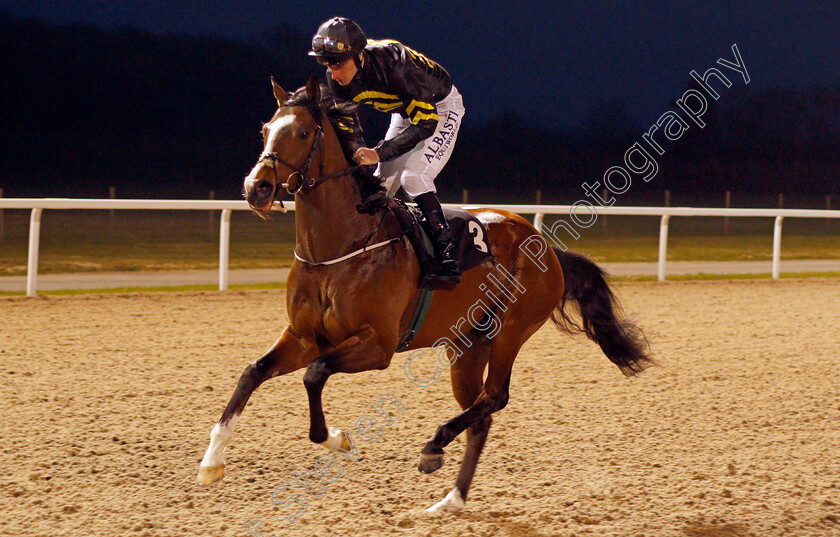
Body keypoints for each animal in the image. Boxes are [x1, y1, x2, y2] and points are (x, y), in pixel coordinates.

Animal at [195, 77, 648, 512]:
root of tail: (547, 246)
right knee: (480, 411)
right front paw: (212, 462)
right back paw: (452, 499)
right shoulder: (305, 337)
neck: (337, 249)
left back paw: (434, 446)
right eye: (265, 130)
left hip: (511, 330)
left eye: (303, 132)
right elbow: (252, 372)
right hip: (467, 346)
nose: (256, 187)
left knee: (496, 397)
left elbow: (314, 374)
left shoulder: (378, 345)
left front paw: (337, 437)